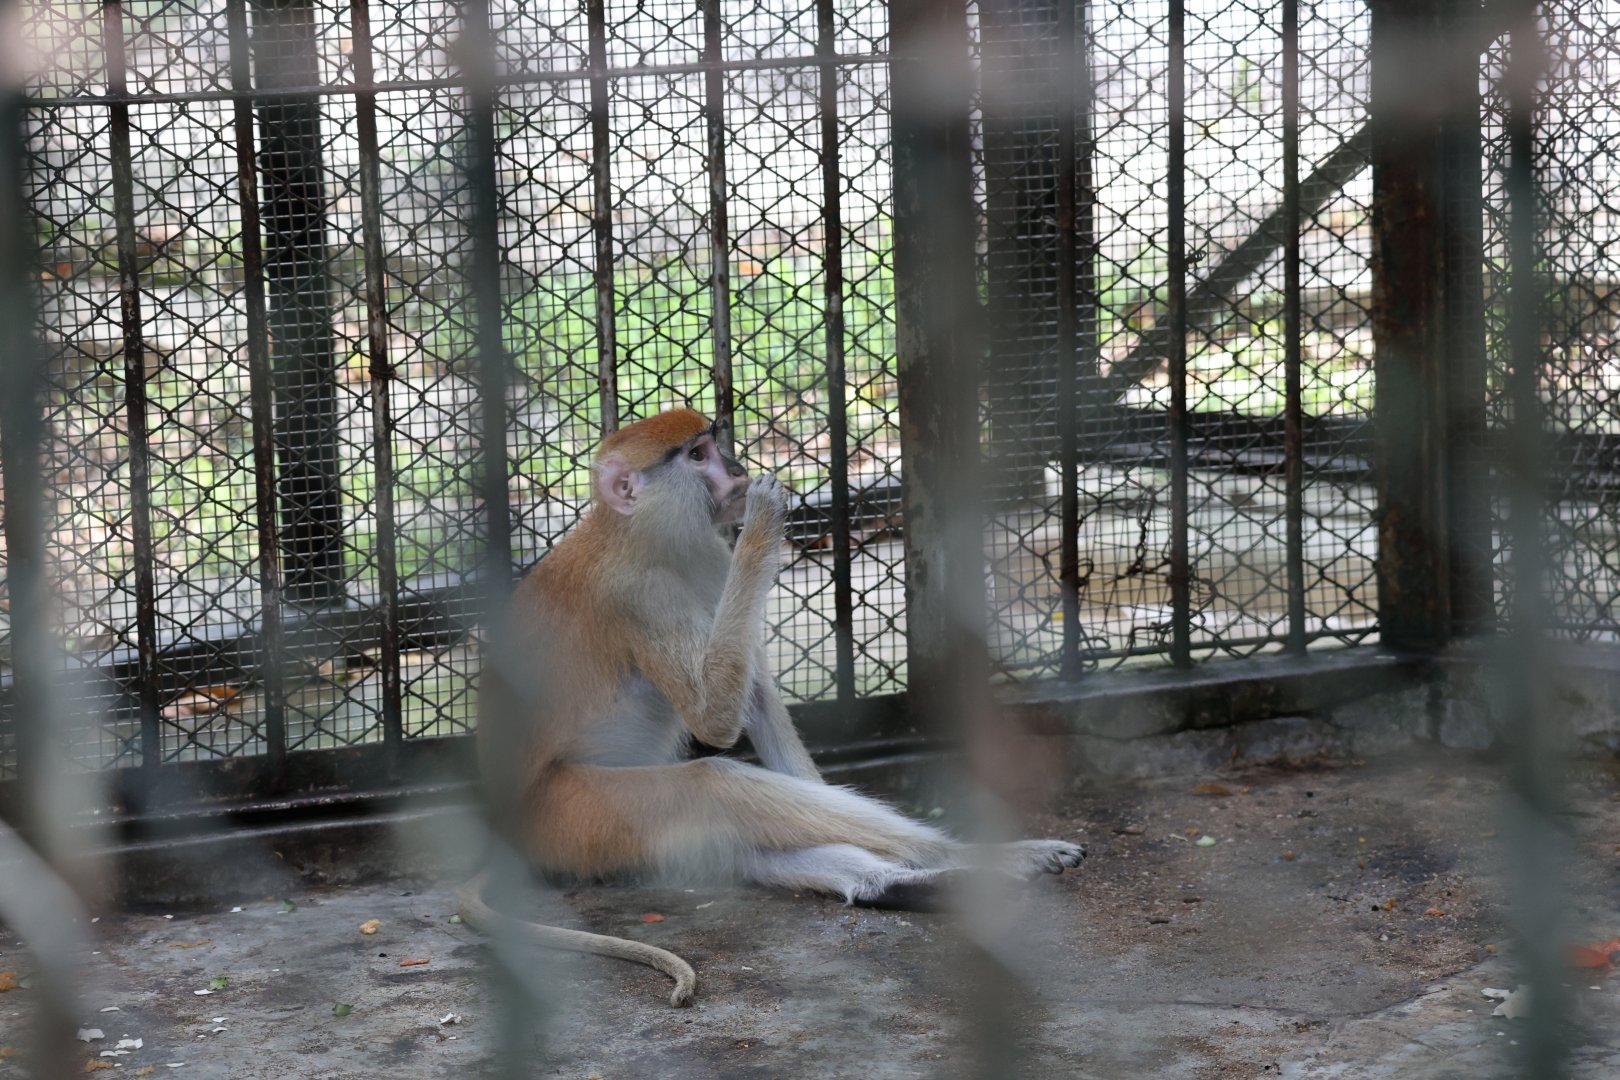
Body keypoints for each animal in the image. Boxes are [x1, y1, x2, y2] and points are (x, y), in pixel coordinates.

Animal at [460, 408, 1085, 1006]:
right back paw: (961, 860)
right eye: (697, 456)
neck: (640, 534)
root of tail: (509, 827)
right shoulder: (635, 595)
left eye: (711, 445)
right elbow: (714, 719)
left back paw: (904, 883)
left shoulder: (708, 561)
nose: (736, 469)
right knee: (715, 786)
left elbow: (755, 697)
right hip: (574, 817)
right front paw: (764, 518)